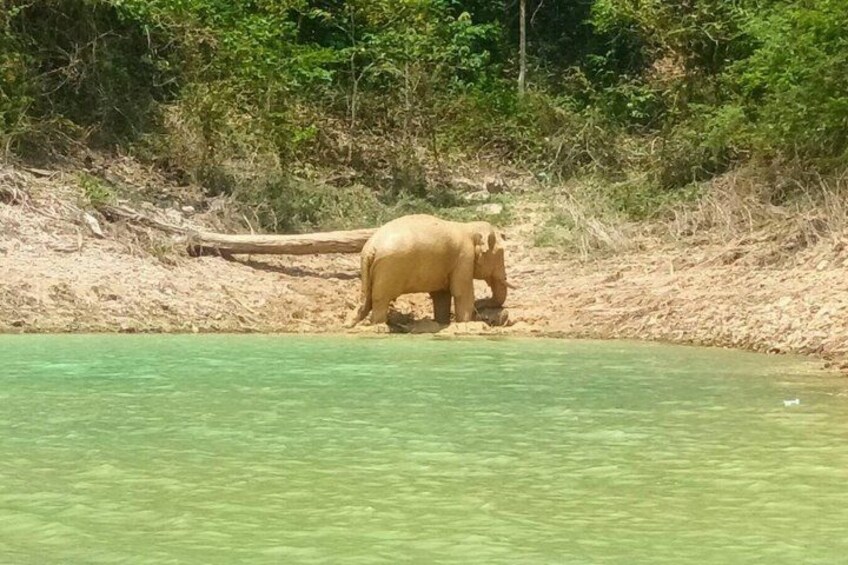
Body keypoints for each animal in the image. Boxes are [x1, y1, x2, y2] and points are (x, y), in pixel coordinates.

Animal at [347, 214, 512, 327]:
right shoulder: (464, 258)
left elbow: (441, 295)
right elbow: (461, 292)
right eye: (501, 253)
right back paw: (379, 325)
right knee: (380, 298)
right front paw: (465, 323)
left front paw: (442, 323)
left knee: (367, 299)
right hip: (388, 269)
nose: (479, 306)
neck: (468, 227)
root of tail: (370, 248)